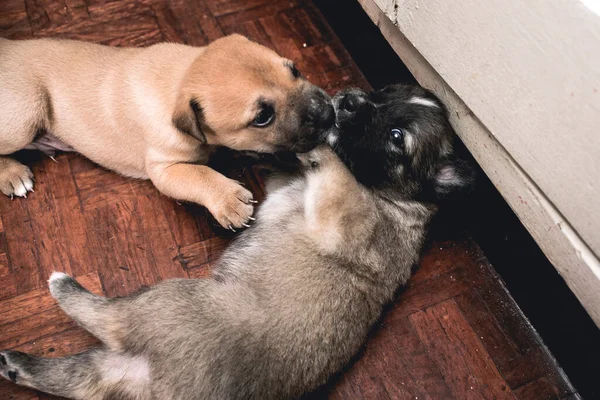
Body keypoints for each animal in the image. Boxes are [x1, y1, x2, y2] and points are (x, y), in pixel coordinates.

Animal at [0, 33, 332, 228]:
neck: (181, 78)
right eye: (262, 117)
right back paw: (13, 175)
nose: (328, 112)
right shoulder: (165, 168)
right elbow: (199, 175)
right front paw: (228, 200)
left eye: (295, 70)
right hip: (25, 116)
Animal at [0, 83, 474, 396]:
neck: (390, 193)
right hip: (114, 365)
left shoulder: (345, 218)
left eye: (396, 137)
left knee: (108, 318)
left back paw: (63, 288)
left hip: (166, 302)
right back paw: (18, 366)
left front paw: (318, 135)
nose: (349, 99)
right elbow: (283, 166)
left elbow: (333, 165)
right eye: (385, 91)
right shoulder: (285, 186)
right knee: (75, 377)